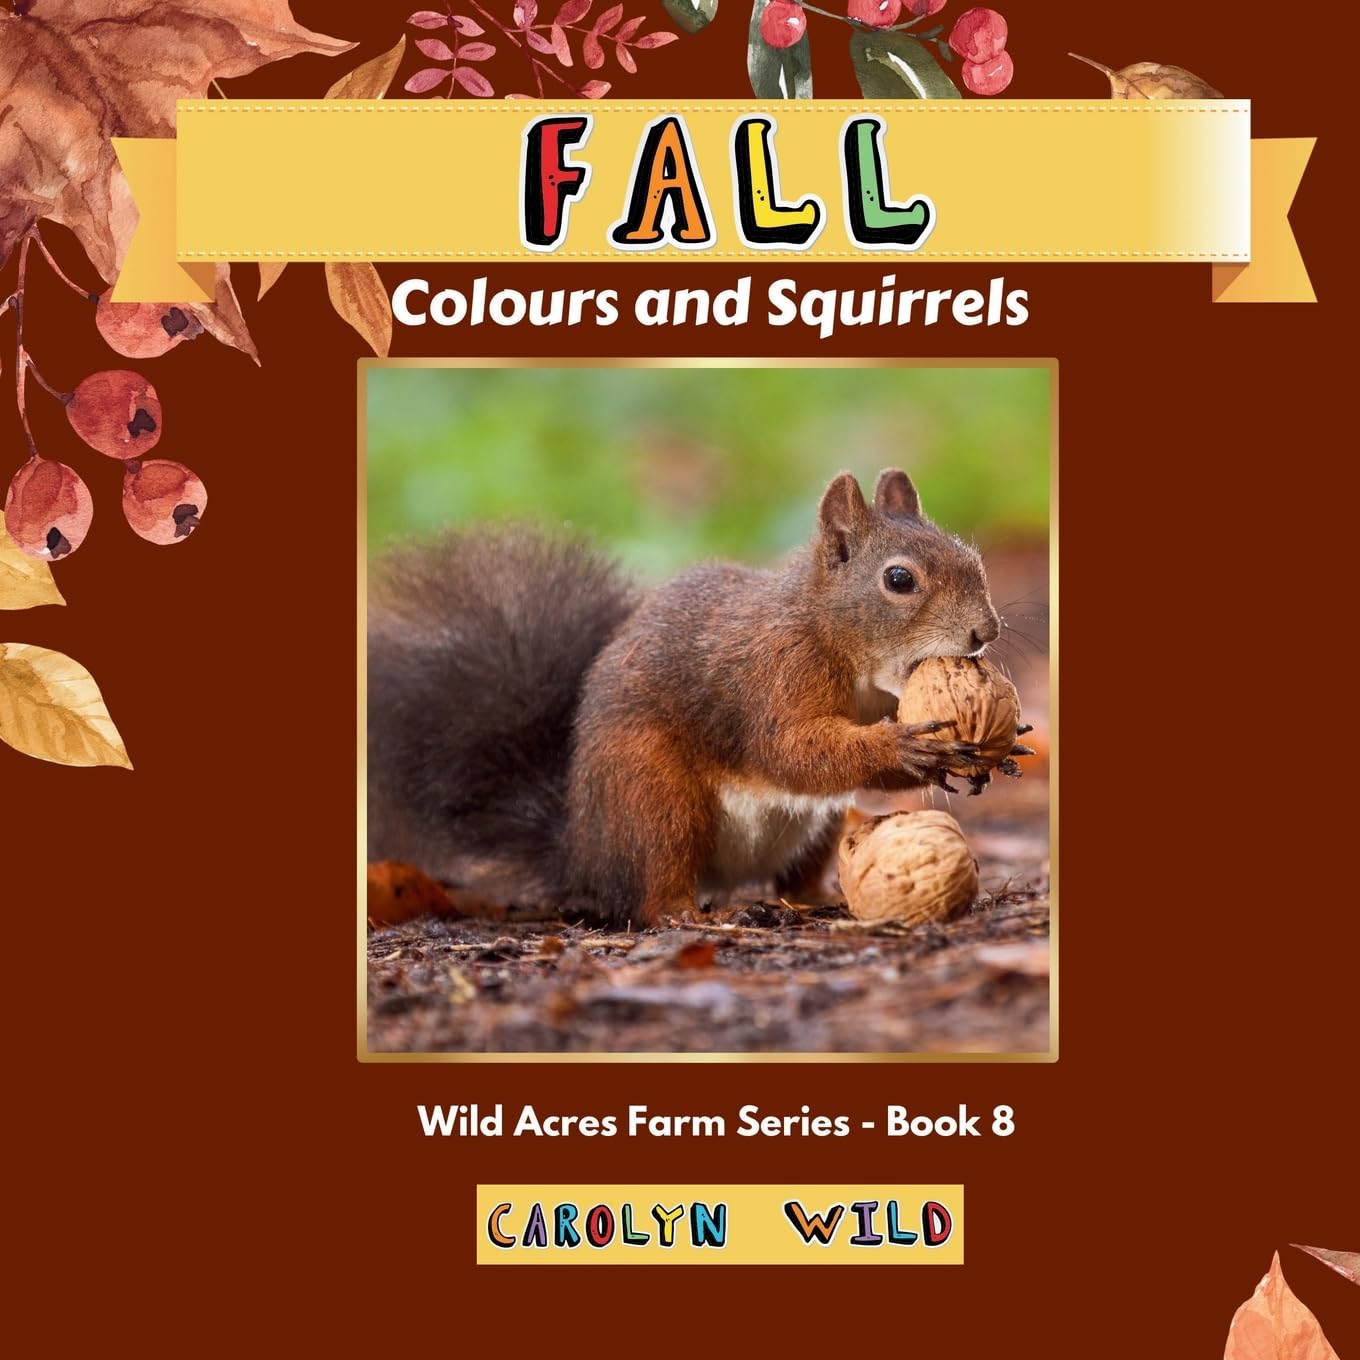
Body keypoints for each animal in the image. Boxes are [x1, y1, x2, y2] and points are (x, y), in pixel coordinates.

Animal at [367, 467, 1019, 929]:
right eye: (899, 580)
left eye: (972, 558)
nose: (985, 631)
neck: (828, 634)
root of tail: (582, 852)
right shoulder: (773, 675)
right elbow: (792, 751)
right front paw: (906, 748)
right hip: (654, 797)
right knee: (654, 891)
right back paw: (696, 914)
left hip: (818, 825)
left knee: (794, 878)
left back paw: (818, 896)